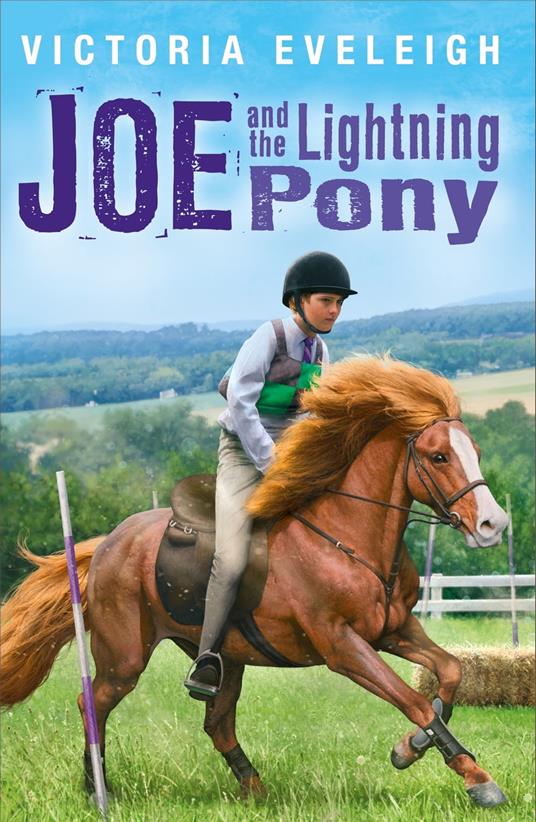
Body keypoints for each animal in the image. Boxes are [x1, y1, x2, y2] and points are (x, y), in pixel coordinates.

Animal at [1, 356, 509, 809]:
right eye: (438, 456)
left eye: (477, 453)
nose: (493, 524)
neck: (347, 538)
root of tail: (108, 542)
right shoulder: (343, 647)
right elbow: (415, 701)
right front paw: (476, 777)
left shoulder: (394, 630)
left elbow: (450, 672)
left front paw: (410, 747)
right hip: (124, 656)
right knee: (93, 704)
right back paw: (96, 790)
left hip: (224, 657)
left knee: (217, 722)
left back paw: (254, 788)